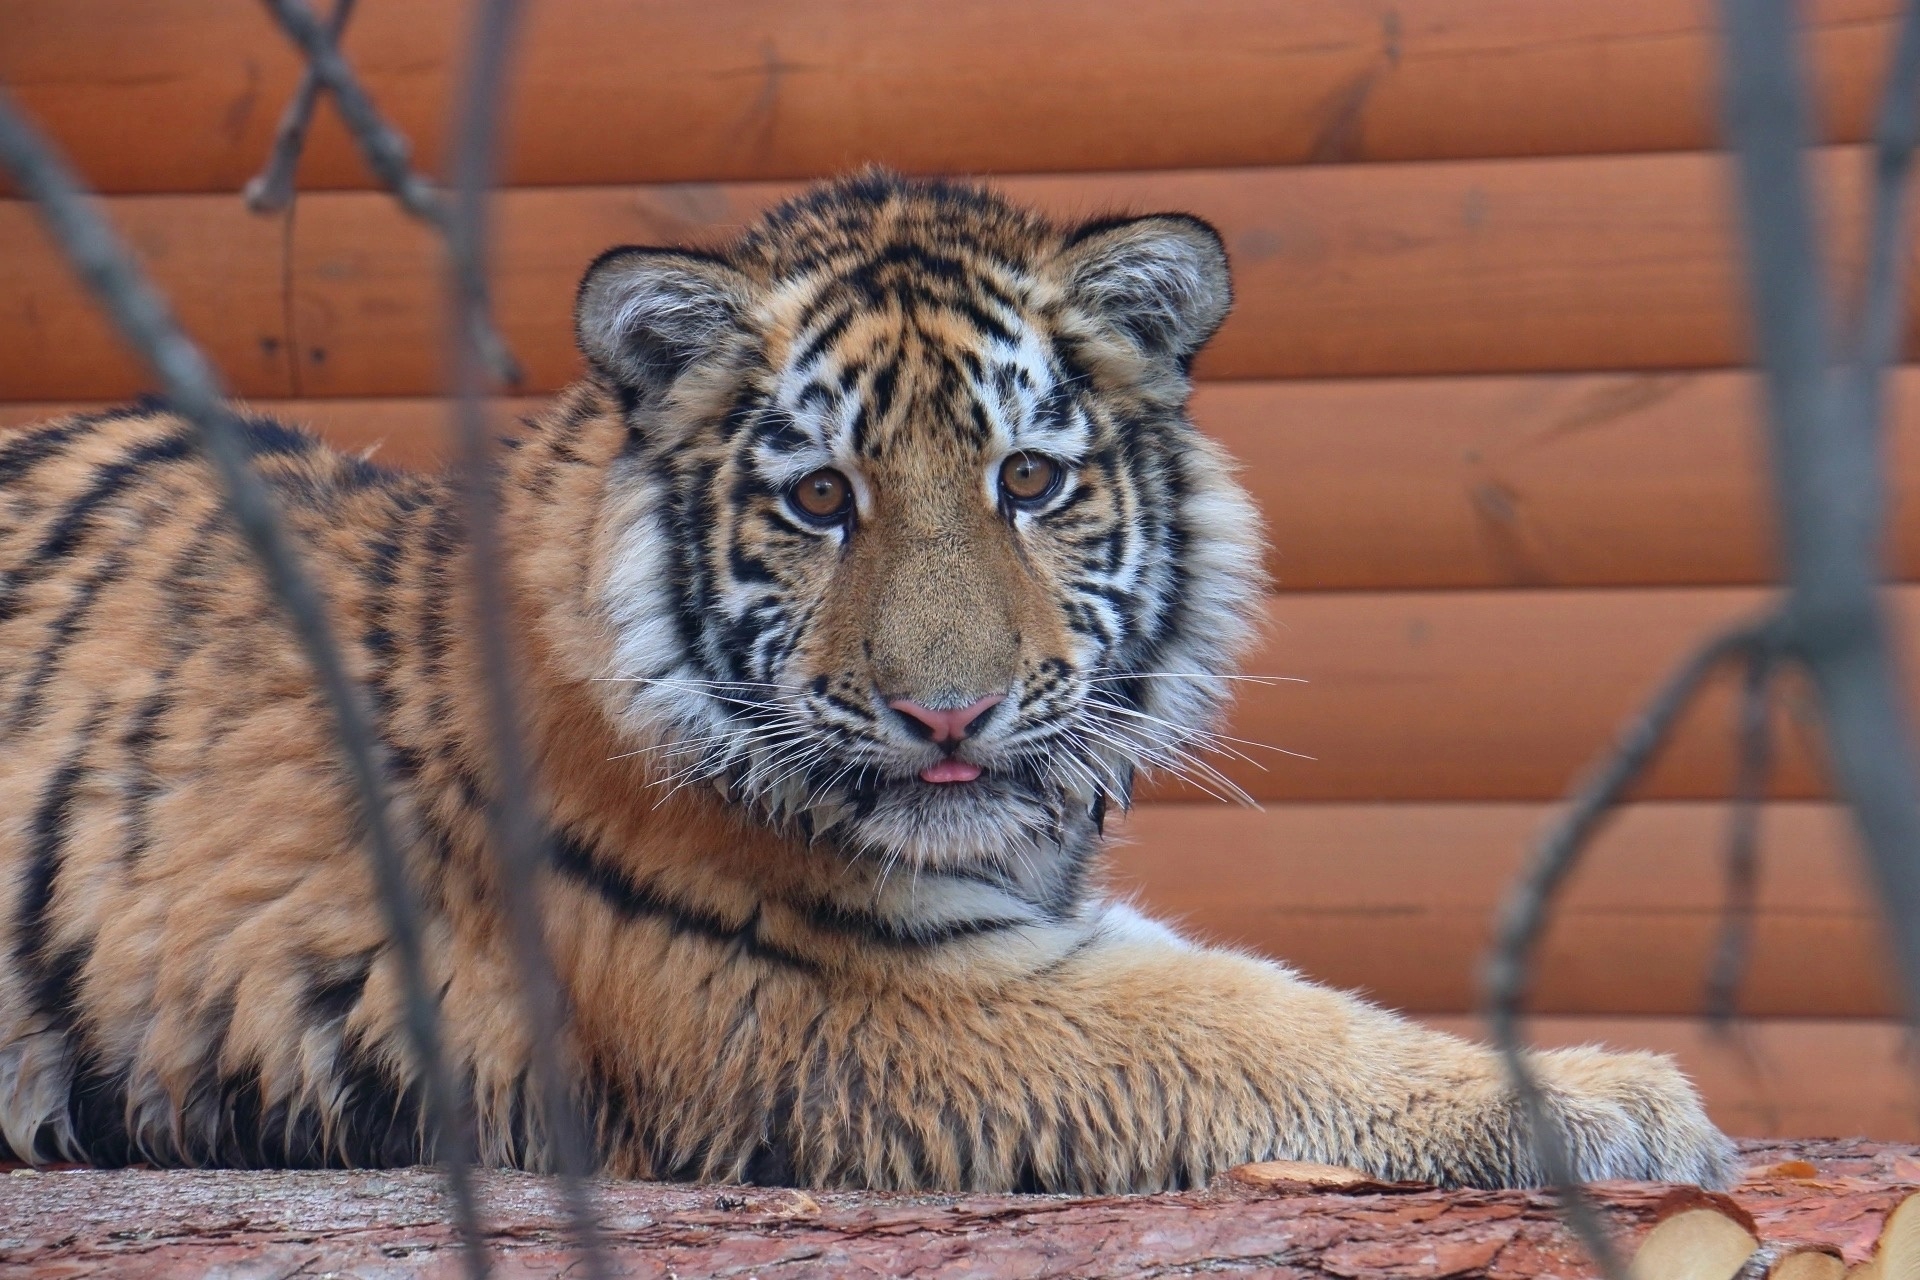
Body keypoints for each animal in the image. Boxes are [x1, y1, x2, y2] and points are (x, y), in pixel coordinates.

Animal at [0, 169, 1743, 1189]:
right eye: (822, 498)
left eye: (1028, 481)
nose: (946, 714)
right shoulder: (864, 996)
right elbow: (1251, 1020)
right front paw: (1620, 1103)